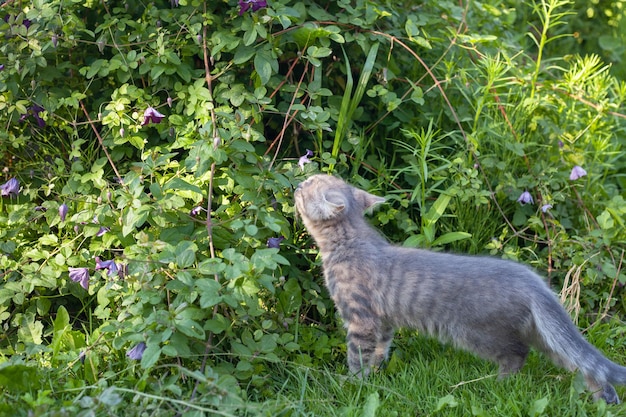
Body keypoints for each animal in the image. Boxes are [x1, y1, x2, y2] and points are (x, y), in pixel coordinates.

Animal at [294, 174, 624, 402]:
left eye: (308, 184)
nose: (297, 183)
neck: (350, 242)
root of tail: (533, 281)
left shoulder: (360, 318)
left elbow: (357, 356)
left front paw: (352, 385)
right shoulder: (383, 321)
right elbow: (379, 351)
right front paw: (375, 376)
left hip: (478, 333)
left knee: (518, 354)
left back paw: (498, 384)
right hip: (544, 334)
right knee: (580, 363)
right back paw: (601, 397)